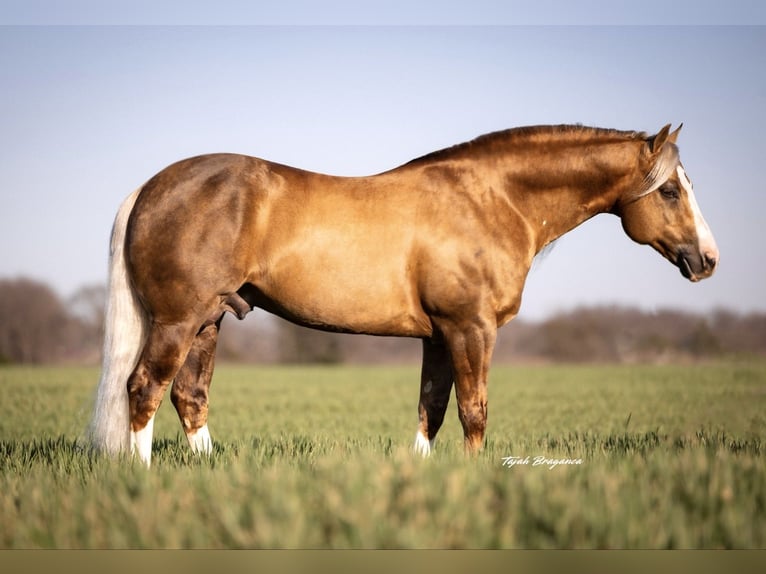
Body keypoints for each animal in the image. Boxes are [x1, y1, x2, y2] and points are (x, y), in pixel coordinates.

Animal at [88, 124, 720, 466]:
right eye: (669, 191)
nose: (708, 260)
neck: (491, 199)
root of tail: (151, 186)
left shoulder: (439, 335)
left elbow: (431, 409)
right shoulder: (470, 328)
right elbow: (473, 411)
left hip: (210, 318)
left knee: (188, 395)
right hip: (178, 319)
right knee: (144, 388)